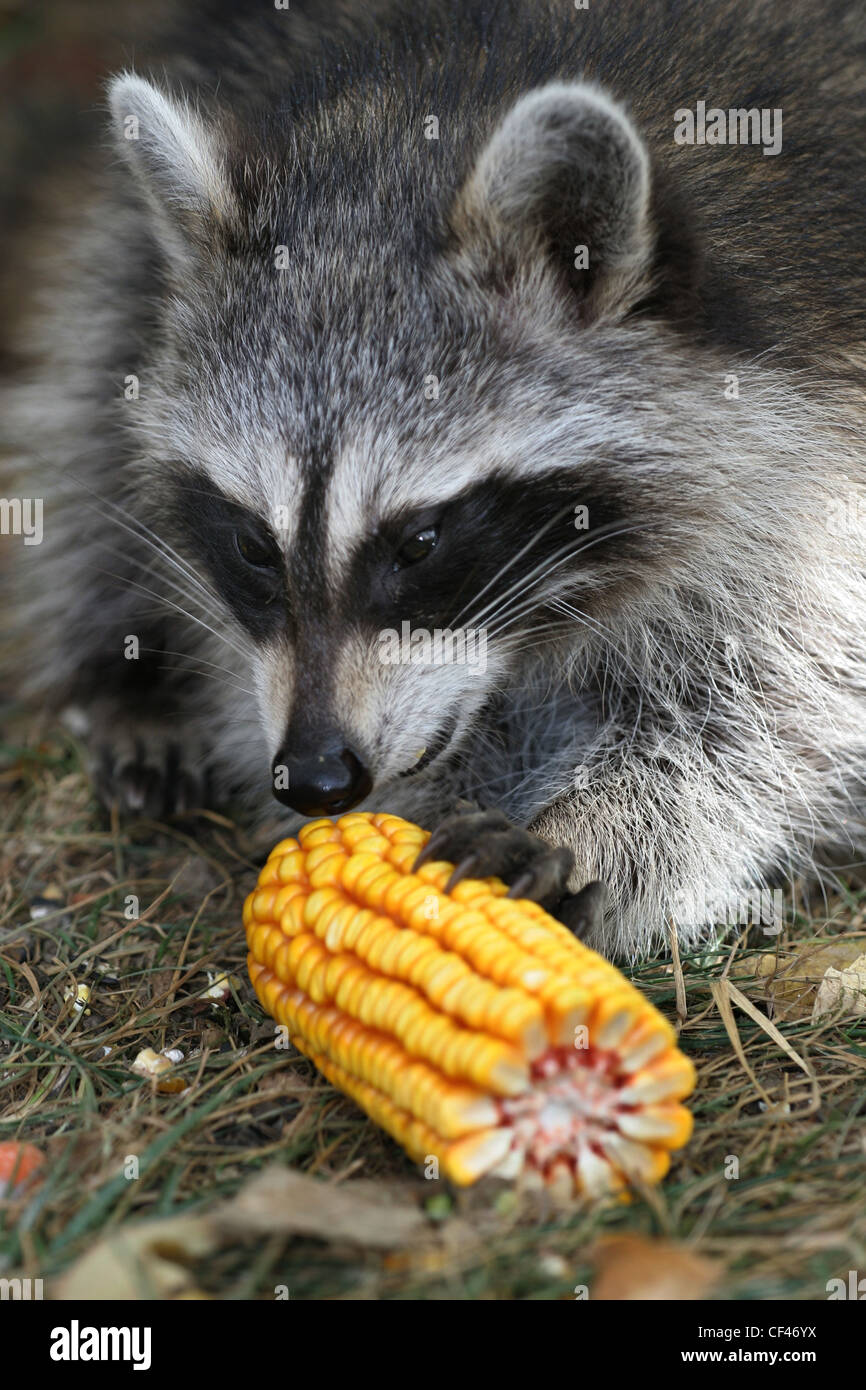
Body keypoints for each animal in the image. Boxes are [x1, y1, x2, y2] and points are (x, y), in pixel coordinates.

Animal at [5, 0, 866, 958]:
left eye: (420, 542)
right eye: (253, 545)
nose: (316, 776)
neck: (421, 130)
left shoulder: (812, 456)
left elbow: (774, 701)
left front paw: (588, 830)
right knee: (97, 351)